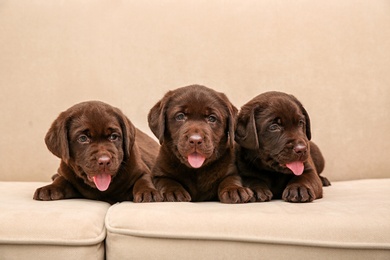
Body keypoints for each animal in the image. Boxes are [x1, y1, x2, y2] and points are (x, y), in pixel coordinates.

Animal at [33, 100, 161, 204]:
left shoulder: (141, 170)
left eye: (113, 136)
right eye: (83, 138)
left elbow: (144, 179)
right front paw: (49, 188)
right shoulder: (66, 171)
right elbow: (62, 179)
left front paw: (148, 192)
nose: (104, 161)